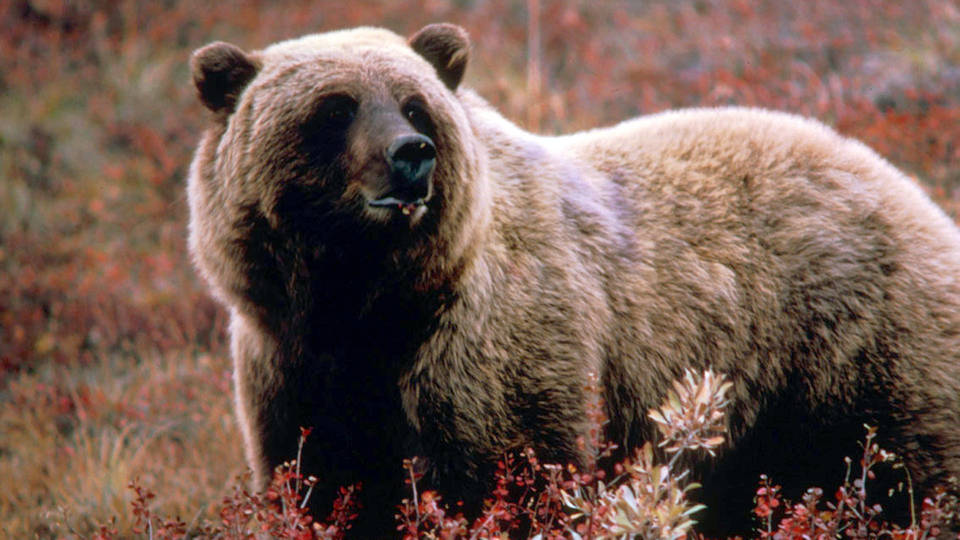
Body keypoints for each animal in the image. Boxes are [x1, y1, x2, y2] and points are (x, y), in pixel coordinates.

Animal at [186, 23, 960, 537]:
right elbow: (319, 482)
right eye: (336, 107)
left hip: (854, 353)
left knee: (910, 473)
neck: (368, 302)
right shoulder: (291, 368)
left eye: (412, 103)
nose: (412, 155)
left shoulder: (491, 350)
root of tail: (910, 188)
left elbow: (507, 478)